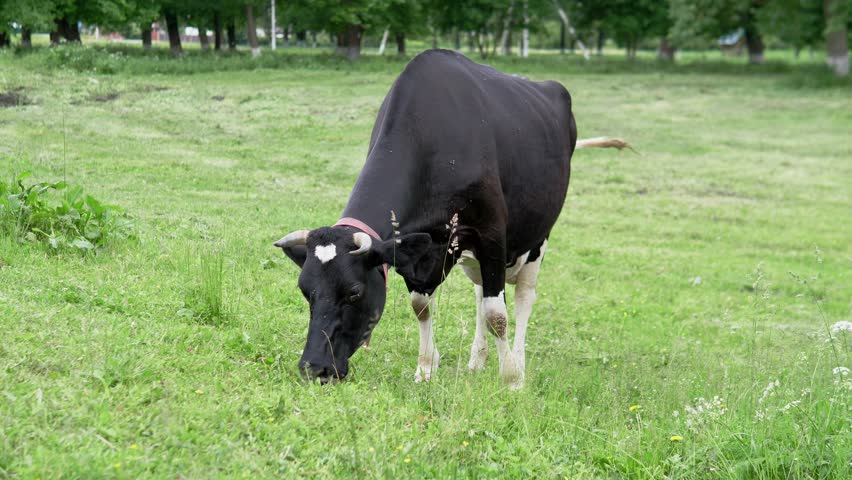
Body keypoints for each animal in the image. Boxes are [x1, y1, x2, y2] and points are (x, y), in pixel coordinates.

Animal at [275, 49, 627, 389]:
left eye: (354, 292)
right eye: (305, 291)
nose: (313, 368)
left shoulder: (491, 234)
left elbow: (497, 314)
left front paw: (511, 379)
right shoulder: (420, 250)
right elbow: (422, 305)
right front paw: (425, 368)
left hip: (538, 237)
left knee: (523, 297)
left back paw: (518, 362)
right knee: (481, 293)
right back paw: (477, 360)